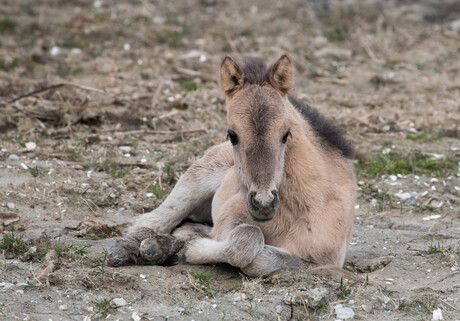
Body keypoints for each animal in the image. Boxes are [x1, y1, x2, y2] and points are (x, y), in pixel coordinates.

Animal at [107, 54, 356, 276]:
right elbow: (245, 241)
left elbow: (267, 260)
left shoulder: (326, 262)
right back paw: (128, 249)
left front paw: (177, 249)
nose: (263, 203)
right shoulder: (227, 225)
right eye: (232, 135)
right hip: (195, 180)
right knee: (153, 220)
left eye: (286, 134)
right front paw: (180, 249)